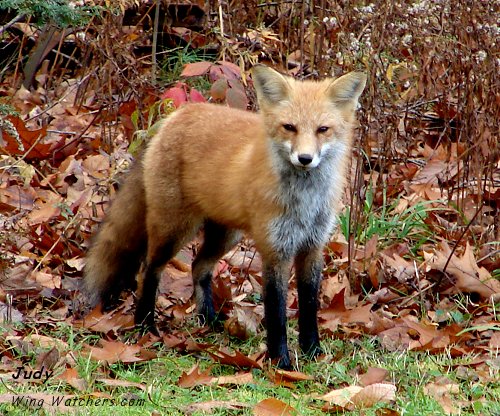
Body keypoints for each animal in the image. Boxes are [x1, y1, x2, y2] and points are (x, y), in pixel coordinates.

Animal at [84, 64, 366, 368]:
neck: (305, 200)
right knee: (148, 269)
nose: (304, 158)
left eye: (322, 130)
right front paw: (280, 361)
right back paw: (145, 324)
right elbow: (276, 312)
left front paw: (312, 350)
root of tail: (175, 117)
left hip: (226, 235)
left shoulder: (312, 246)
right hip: (175, 229)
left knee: (198, 267)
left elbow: (309, 304)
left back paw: (208, 318)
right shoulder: (275, 249)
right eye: (289, 127)